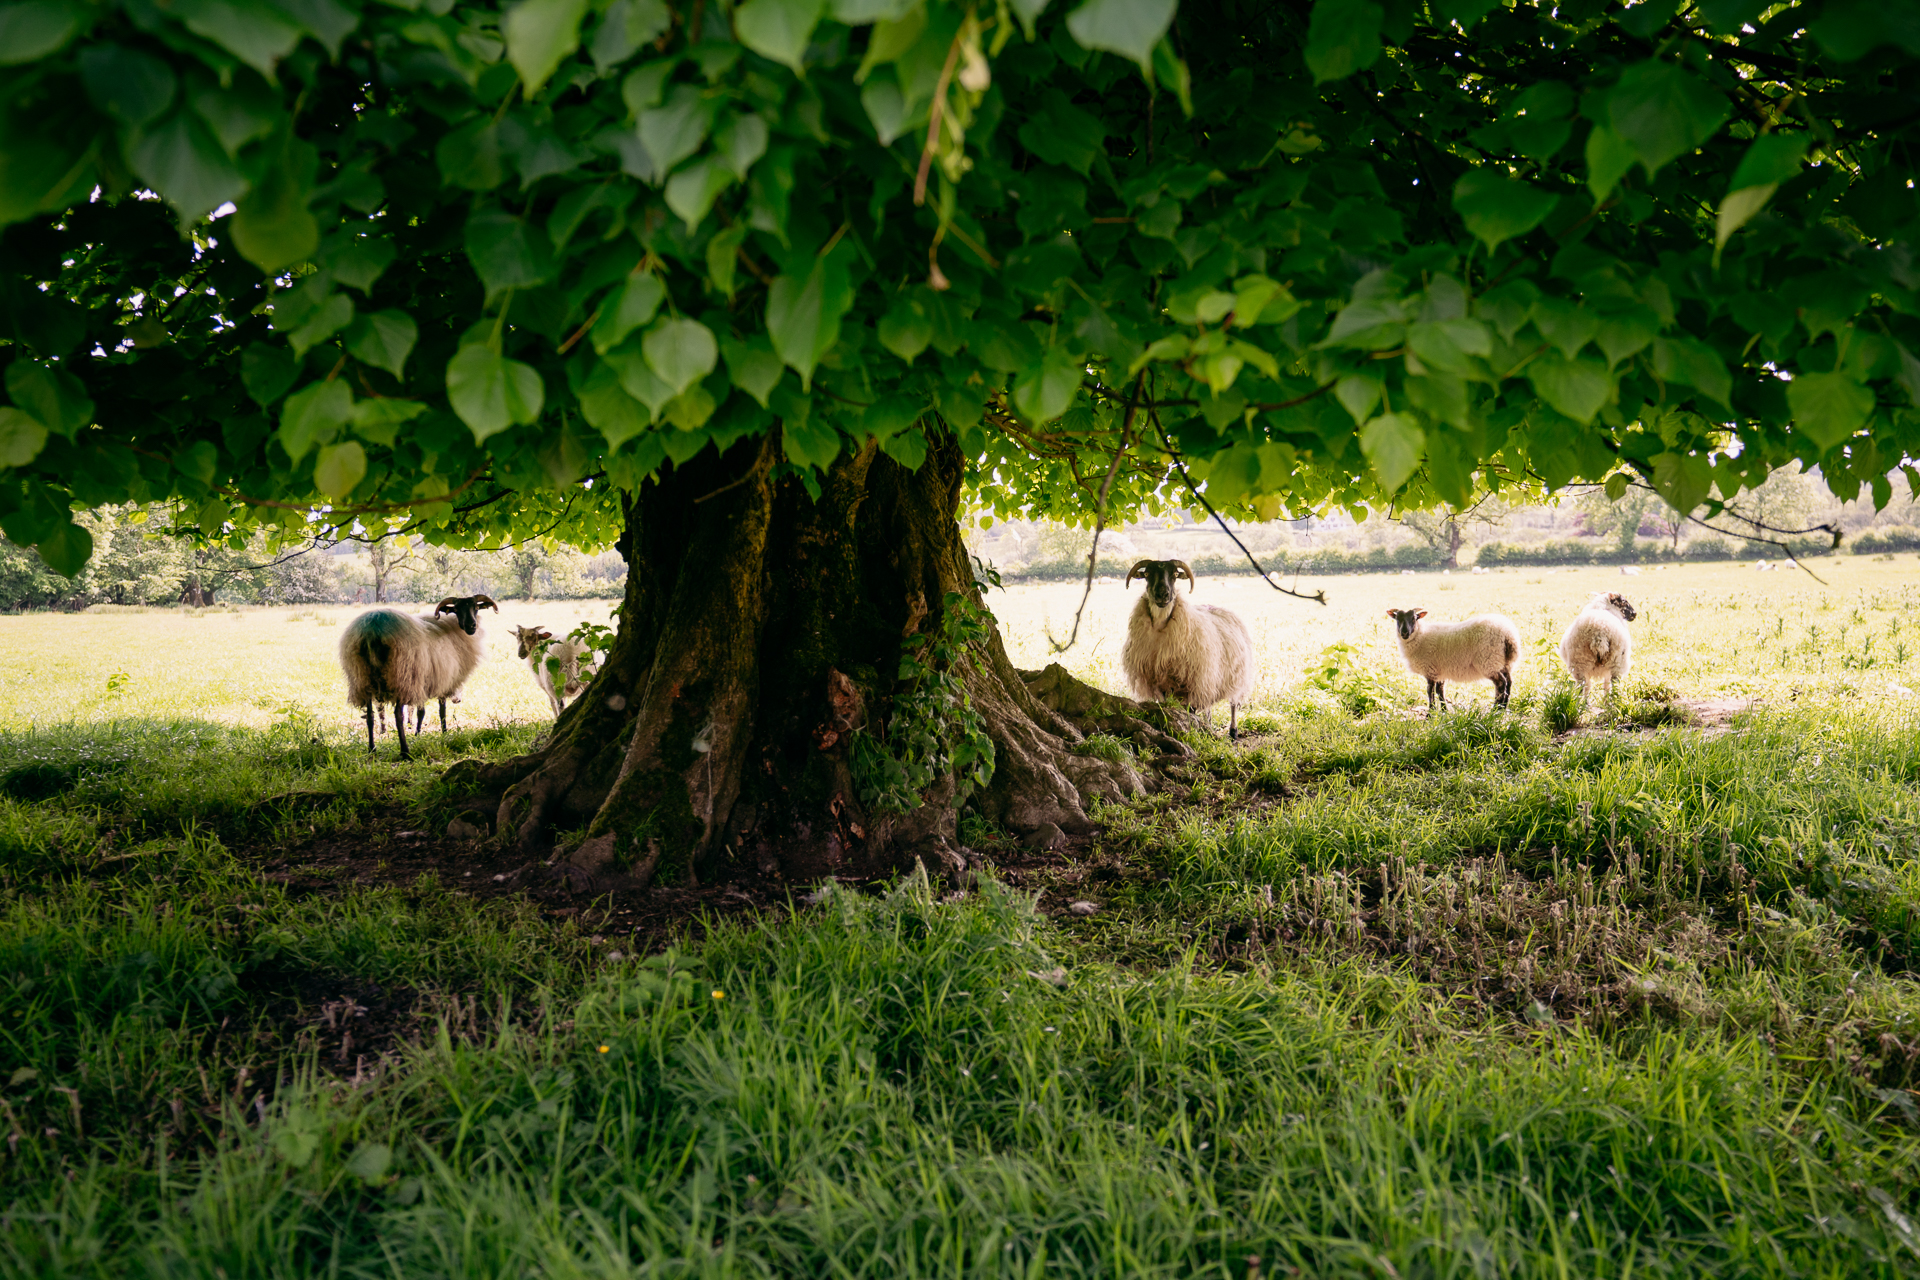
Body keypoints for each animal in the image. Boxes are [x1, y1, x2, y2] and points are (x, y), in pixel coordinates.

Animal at [341, 598, 499, 767]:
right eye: (456, 609)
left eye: (476, 608)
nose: (471, 626)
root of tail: (372, 631)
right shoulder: (438, 680)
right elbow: (439, 711)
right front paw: (442, 733)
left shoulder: (423, 682)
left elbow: (420, 712)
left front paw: (418, 734)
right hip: (402, 678)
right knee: (398, 715)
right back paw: (405, 752)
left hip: (362, 680)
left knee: (370, 716)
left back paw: (372, 749)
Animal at [1113, 560, 1259, 740]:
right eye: (1146, 574)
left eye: (1175, 574)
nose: (1163, 594)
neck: (1160, 626)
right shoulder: (1160, 682)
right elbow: (1168, 707)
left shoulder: (1194, 681)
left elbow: (1192, 711)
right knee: (1208, 706)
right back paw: (1209, 727)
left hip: (1232, 675)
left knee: (1233, 703)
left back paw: (1233, 732)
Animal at [1390, 610, 1520, 710]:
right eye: (1397, 619)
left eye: (1414, 619)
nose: (1404, 633)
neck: (1420, 635)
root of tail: (1508, 635)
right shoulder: (1439, 671)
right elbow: (1440, 691)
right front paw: (1444, 711)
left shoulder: (1430, 670)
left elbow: (1430, 691)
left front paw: (1431, 713)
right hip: (1504, 663)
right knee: (1509, 683)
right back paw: (1503, 709)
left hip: (1488, 662)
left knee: (1501, 684)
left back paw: (1495, 710)